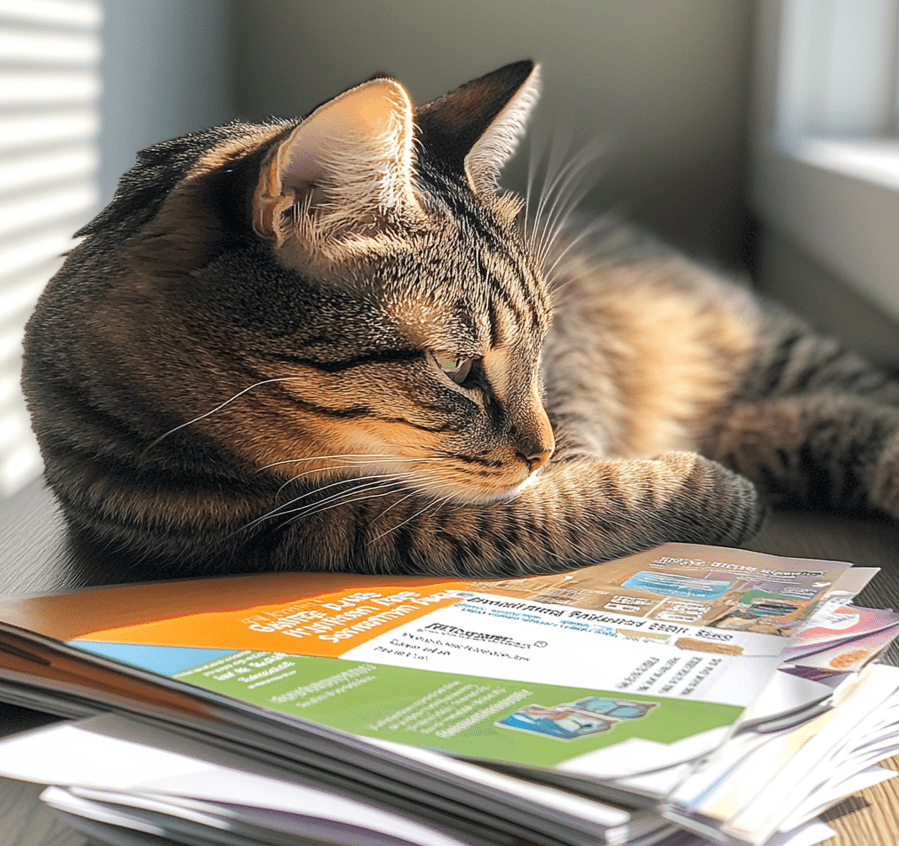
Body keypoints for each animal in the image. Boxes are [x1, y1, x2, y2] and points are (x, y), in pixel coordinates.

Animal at [21, 59, 899, 576]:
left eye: (543, 345)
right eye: (456, 367)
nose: (541, 449)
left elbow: (570, 473)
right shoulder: (325, 530)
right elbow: (554, 510)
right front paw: (704, 488)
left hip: (782, 348)